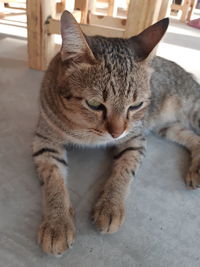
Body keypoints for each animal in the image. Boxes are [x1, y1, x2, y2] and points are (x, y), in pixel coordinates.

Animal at [32, 11, 200, 258]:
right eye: (94, 104)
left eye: (136, 105)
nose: (116, 133)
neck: (86, 134)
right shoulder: (45, 140)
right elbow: (53, 179)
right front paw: (58, 222)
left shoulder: (135, 139)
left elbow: (124, 170)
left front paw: (110, 206)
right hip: (167, 126)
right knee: (195, 138)